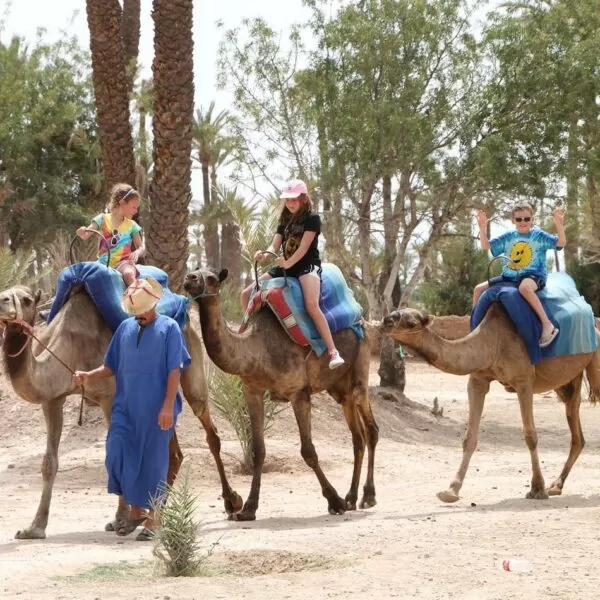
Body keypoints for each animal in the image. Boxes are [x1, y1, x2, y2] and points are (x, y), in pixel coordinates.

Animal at [0, 282, 241, 540]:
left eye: (27, 299)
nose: (3, 302)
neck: (70, 345)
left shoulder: (109, 397)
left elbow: (118, 454)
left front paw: (121, 520)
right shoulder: (52, 398)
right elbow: (49, 463)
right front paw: (34, 528)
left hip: (191, 365)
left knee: (209, 429)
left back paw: (232, 502)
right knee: (173, 451)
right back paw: (154, 512)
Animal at [184, 268, 380, 520]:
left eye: (211, 278)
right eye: (194, 272)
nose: (189, 279)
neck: (256, 349)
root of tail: (361, 316)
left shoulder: (299, 393)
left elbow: (308, 451)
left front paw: (334, 501)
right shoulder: (252, 390)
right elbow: (258, 450)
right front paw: (248, 508)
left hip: (360, 366)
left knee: (370, 428)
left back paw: (367, 497)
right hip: (339, 389)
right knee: (358, 437)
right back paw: (352, 497)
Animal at [382, 304, 600, 502]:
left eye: (411, 322)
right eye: (395, 312)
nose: (385, 321)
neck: (492, 344)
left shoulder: (524, 381)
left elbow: (530, 436)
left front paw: (538, 489)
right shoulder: (478, 380)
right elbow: (469, 438)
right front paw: (451, 490)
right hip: (567, 382)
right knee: (576, 428)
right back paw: (556, 485)